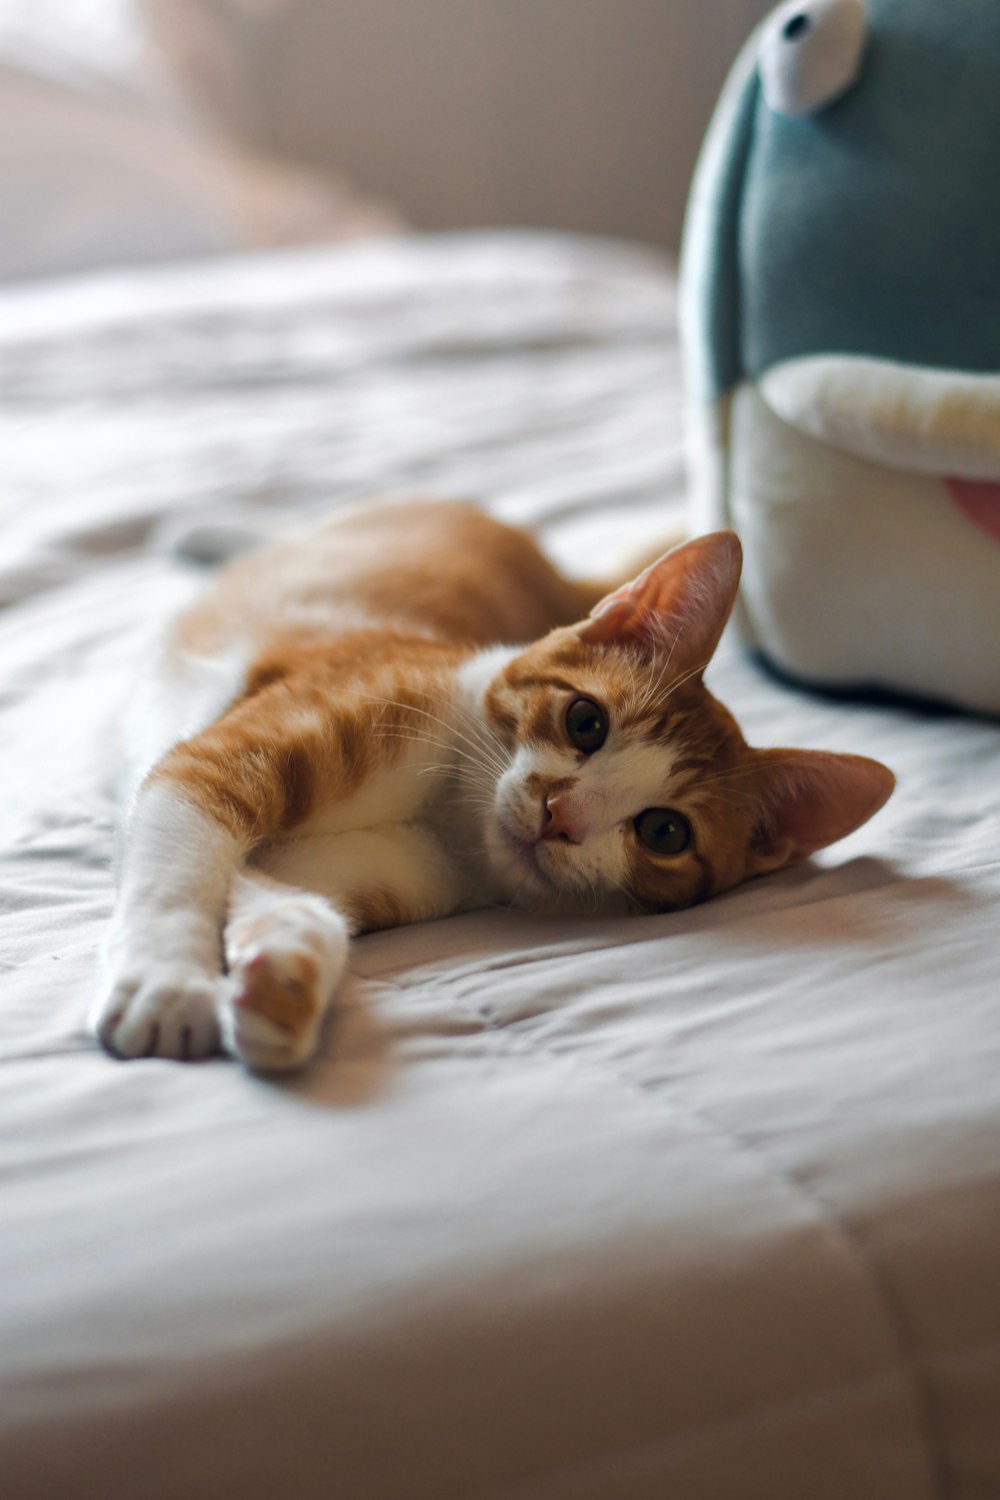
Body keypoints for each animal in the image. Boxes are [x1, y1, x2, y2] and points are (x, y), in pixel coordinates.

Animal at [91, 498, 893, 1074]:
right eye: (585, 721)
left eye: (665, 832)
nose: (560, 815)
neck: (448, 813)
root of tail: (544, 565)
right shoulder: (228, 752)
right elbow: (182, 857)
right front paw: (168, 985)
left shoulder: (375, 869)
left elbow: (273, 889)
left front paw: (281, 979)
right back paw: (208, 529)